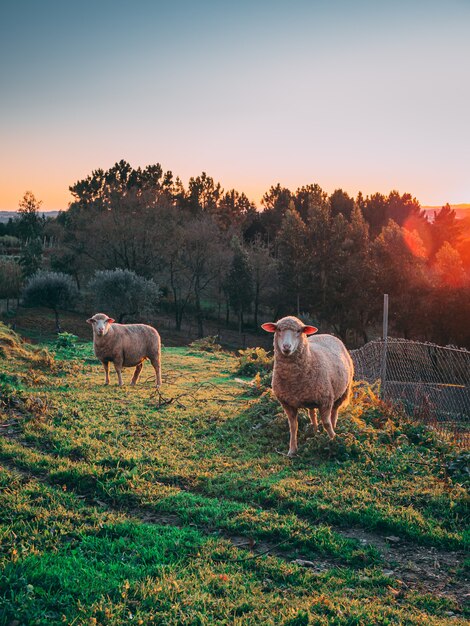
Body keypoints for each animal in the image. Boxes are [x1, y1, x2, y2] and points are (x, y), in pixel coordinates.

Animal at [260, 316, 352, 454]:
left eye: (299, 331)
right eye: (279, 329)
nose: (286, 346)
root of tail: (328, 334)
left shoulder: (326, 399)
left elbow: (326, 423)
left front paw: (334, 439)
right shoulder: (287, 403)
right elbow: (293, 426)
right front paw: (292, 450)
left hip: (343, 391)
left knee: (334, 412)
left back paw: (334, 427)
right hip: (310, 397)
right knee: (312, 413)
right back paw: (314, 430)